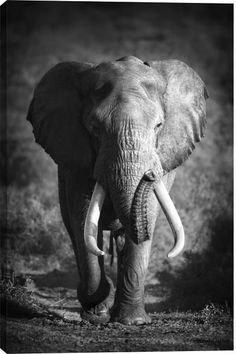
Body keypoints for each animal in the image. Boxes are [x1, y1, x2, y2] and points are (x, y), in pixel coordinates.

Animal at [26, 54, 207, 324]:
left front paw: (132, 322)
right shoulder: (76, 159)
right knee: (74, 228)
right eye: (94, 127)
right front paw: (96, 312)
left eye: (159, 126)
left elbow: (147, 215)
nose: (150, 174)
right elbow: (83, 220)